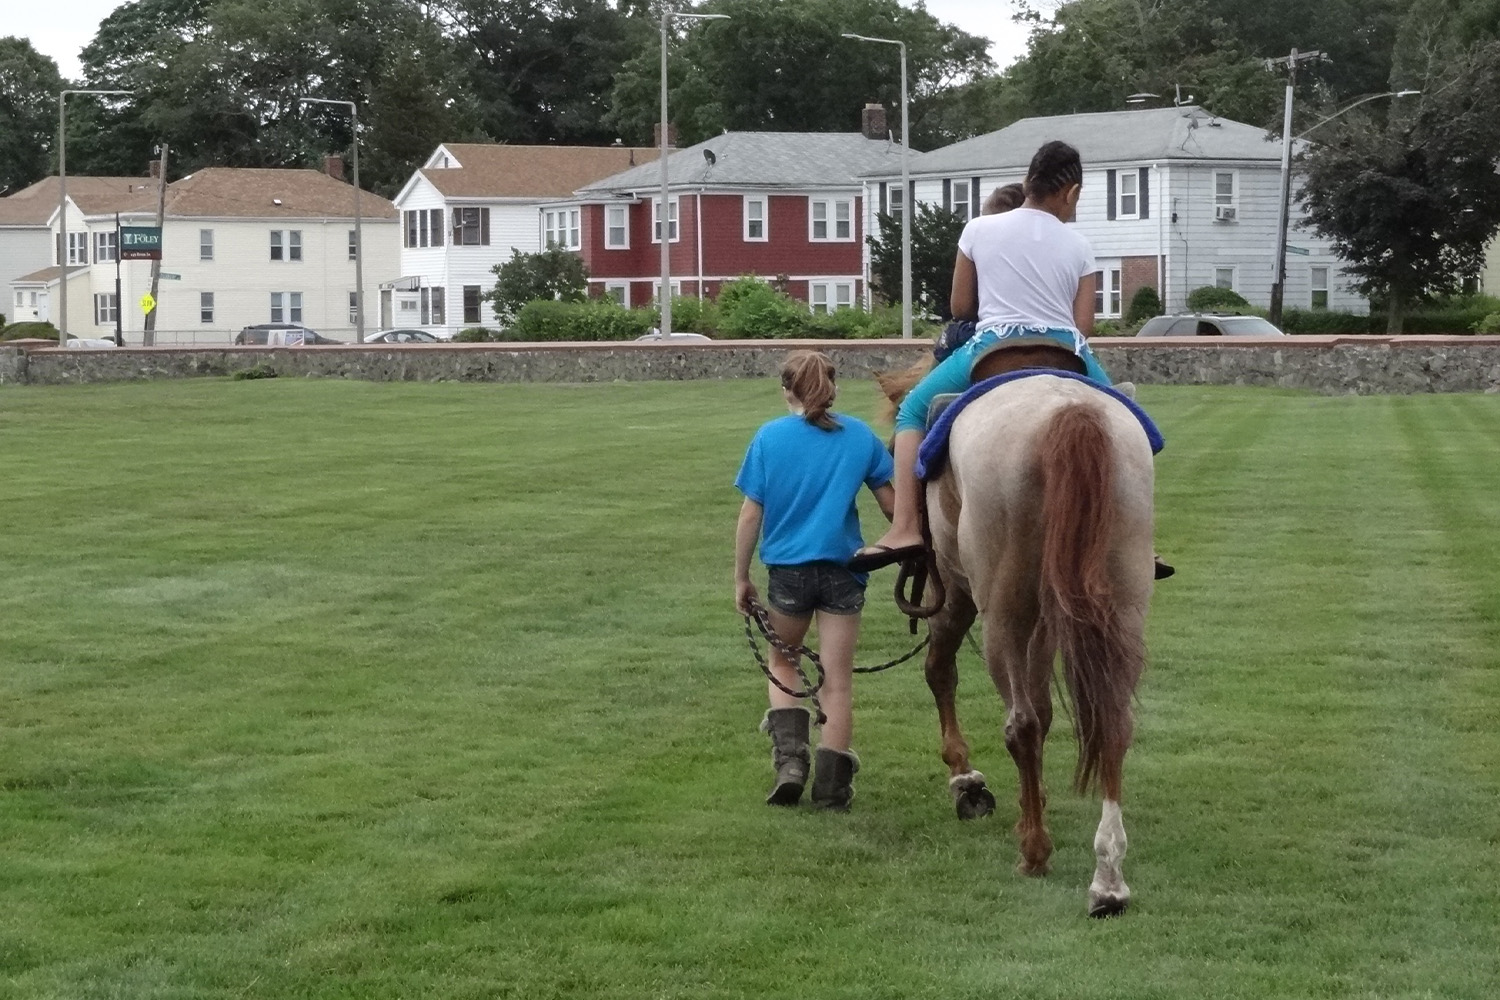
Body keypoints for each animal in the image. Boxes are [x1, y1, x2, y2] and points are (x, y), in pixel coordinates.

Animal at [882, 347, 1152, 917]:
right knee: (1113, 723)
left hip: (1000, 607)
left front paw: (965, 779)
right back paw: (1108, 877)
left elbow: (940, 671)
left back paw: (1034, 849)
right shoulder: (1050, 618)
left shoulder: (955, 590)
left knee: (1019, 723)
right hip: (1122, 598)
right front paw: (1036, 796)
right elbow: (1048, 710)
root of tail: (1069, 415)